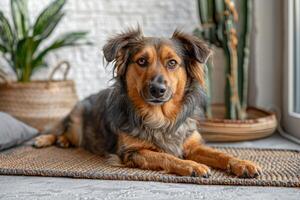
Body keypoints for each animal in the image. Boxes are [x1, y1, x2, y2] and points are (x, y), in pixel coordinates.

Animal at [34, 27, 262, 178]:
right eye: (142, 61)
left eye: (172, 63)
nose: (157, 89)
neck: (160, 117)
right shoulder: (133, 152)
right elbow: (166, 157)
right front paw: (192, 166)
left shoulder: (192, 144)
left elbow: (220, 153)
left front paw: (242, 164)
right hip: (76, 122)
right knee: (60, 130)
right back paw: (47, 139)